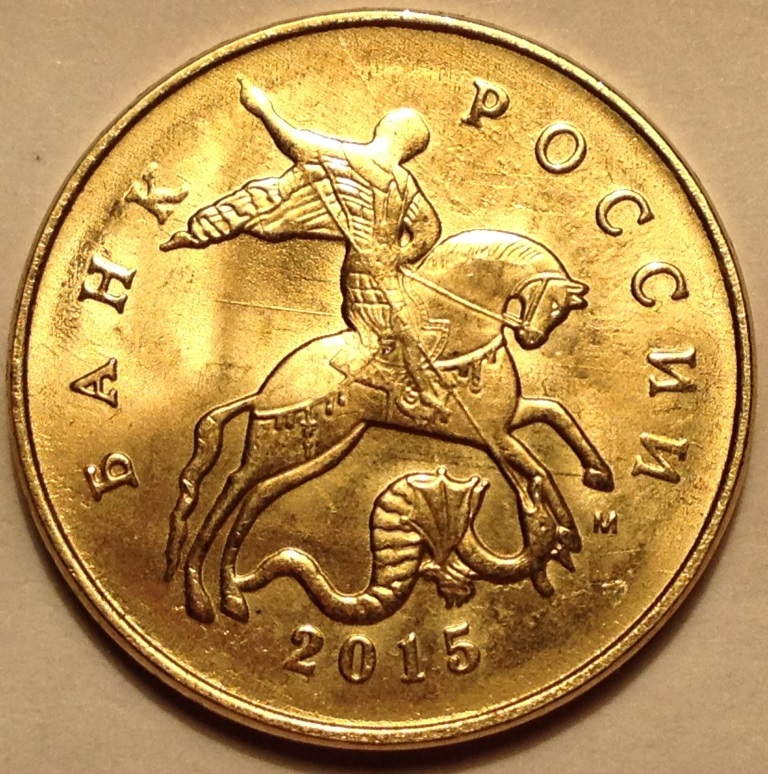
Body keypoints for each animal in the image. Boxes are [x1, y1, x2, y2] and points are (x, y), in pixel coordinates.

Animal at [164, 229, 614, 624]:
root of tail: (263, 392)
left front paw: (597, 475)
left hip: (322, 449)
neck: (461, 328)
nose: (533, 338)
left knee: (255, 498)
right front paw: (567, 531)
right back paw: (199, 594)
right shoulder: (495, 434)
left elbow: (556, 413)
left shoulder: (504, 420)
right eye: (554, 305)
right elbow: (540, 468)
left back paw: (231, 595)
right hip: (279, 445)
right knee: (232, 488)